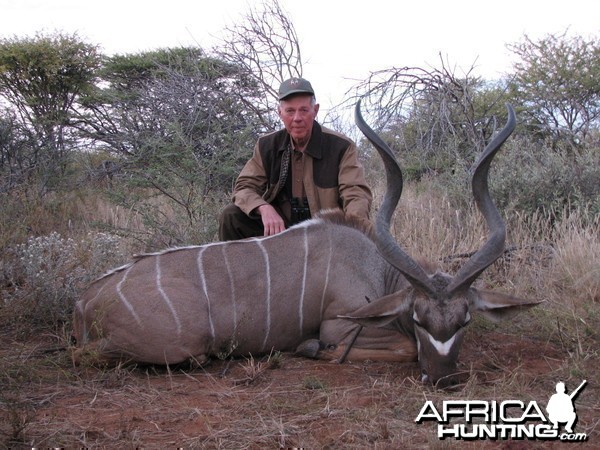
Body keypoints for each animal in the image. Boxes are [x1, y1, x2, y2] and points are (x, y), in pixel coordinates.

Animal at [71, 103, 540, 386]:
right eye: (419, 319)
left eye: (465, 320)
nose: (443, 379)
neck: (377, 271)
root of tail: (86, 300)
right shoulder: (341, 326)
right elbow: (397, 349)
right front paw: (311, 349)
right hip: (177, 346)